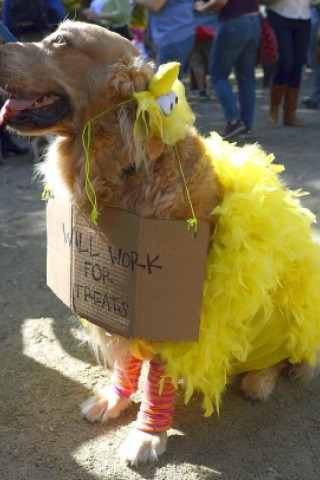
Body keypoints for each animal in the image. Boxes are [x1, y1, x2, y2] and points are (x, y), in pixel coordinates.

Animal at [0, 20, 320, 466]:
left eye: (62, 41)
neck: (127, 170)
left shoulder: (170, 309)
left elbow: (157, 378)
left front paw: (147, 434)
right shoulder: (126, 305)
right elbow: (128, 363)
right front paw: (113, 400)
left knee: (289, 360)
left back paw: (260, 380)